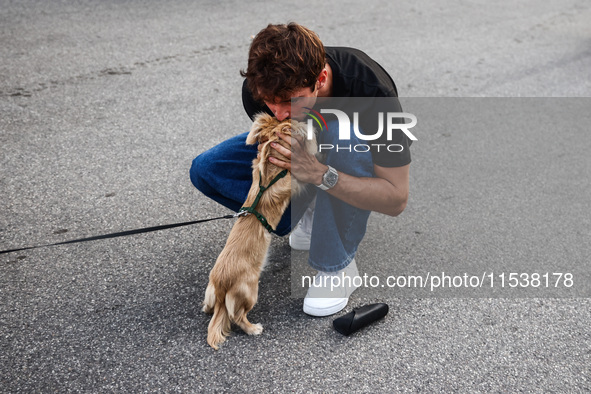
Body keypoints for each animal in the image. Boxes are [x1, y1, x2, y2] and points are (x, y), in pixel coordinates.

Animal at [204, 112, 316, 350]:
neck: (271, 173)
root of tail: (221, 287)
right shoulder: (296, 181)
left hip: (211, 291)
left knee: (210, 308)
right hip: (250, 292)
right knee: (237, 316)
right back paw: (253, 329)